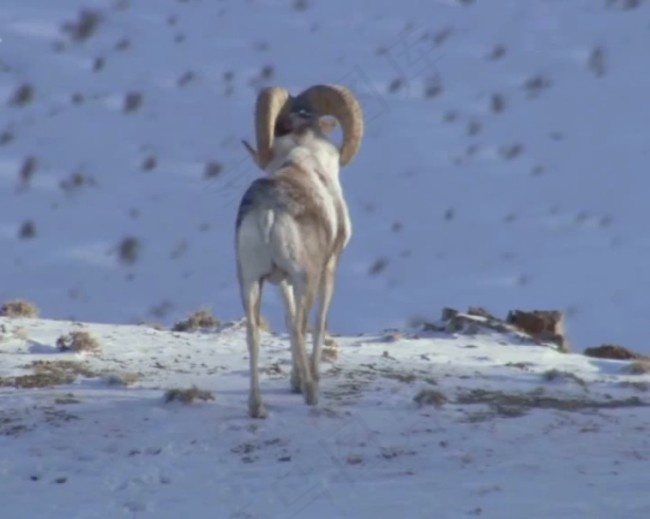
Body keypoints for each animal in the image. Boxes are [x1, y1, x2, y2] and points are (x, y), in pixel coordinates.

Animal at [234, 85, 364, 418]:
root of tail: (268, 213)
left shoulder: (281, 281)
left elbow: (286, 317)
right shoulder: (328, 268)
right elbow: (318, 324)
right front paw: (307, 382)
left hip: (250, 281)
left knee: (254, 334)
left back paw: (257, 407)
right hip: (305, 278)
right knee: (301, 325)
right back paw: (311, 393)